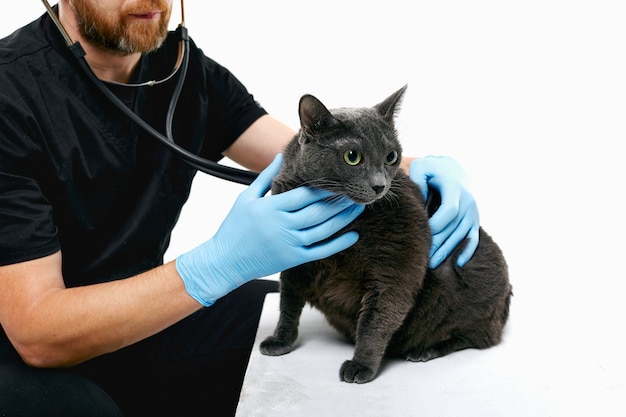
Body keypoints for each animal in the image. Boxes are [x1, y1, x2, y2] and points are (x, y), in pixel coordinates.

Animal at [260, 85, 510, 384]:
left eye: (391, 156)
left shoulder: (399, 256)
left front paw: (361, 365)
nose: (380, 186)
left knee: (477, 337)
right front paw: (280, 340)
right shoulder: (292, 256)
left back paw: (425, 350)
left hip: (470, 269)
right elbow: (288, 302)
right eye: (352, 156)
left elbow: (378, 317)